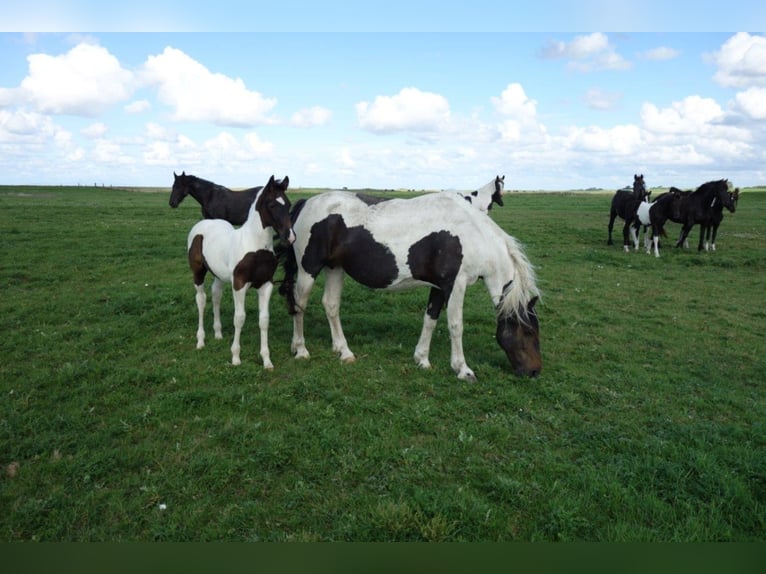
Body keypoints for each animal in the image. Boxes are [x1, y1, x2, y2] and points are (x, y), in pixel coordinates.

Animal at [186, 176, 294, 368]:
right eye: (272, 205)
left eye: (288, 204)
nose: (289, 237)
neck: (255, 247)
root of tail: (201, 224)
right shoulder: (239, 284)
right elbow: (239, 318)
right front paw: (235, 357)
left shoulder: (266, 285)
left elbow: (264, 320)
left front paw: (267, 360)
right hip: (198, 273)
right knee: (201, 300)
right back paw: (201, 341)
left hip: (219, 276)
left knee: (216, 296)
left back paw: (218, 334)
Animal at [280, 191, 544, 384]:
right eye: (529, 332)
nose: (534, 372)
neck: (471, 233)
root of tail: (306, 202)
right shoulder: (455, 284)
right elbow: (456, 326)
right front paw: (462, 369)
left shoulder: (439, 287)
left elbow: (431, 319)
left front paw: (422, 359)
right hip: (308, 270)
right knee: (299, 305)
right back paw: (300, 349)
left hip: (335, 269)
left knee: (331, 306)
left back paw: (343, 351)